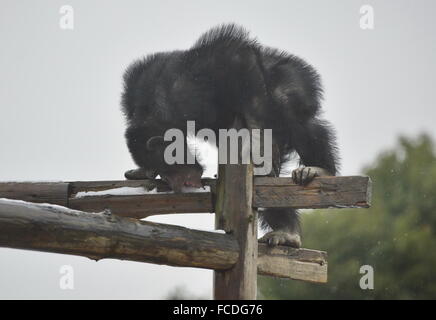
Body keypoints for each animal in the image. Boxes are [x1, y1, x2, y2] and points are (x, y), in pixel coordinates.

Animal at [121, 23, 338, 248]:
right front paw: (141, 172)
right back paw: (285, 231)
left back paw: (319, 170)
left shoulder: (204, 73)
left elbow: (240, 63)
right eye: (161, 172)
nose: (175, 182)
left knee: (294, 116)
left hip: (293, 78)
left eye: (167, 167)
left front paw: (261, 143)